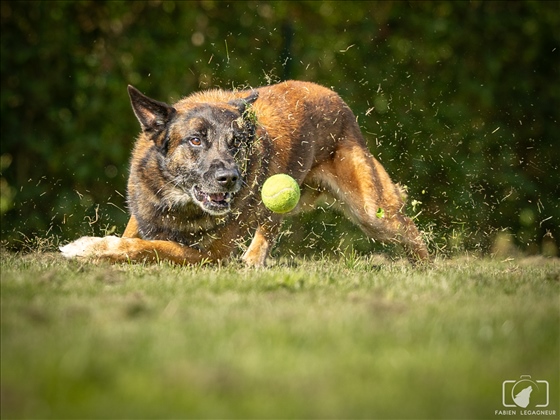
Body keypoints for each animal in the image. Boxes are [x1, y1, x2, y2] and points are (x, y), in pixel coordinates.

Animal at [61, 80, 428, 268]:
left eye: (236, 143)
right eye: (195, 140)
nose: (229, 179)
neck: (180, 202)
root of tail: (336, 98)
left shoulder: (210, 255)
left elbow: (154, 248)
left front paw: (89, 247)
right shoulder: (144, 216)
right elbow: (135, 237)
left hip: (371, 210)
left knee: (411, 231)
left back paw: (427, 268)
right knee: (271, 222)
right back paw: (253, 260)